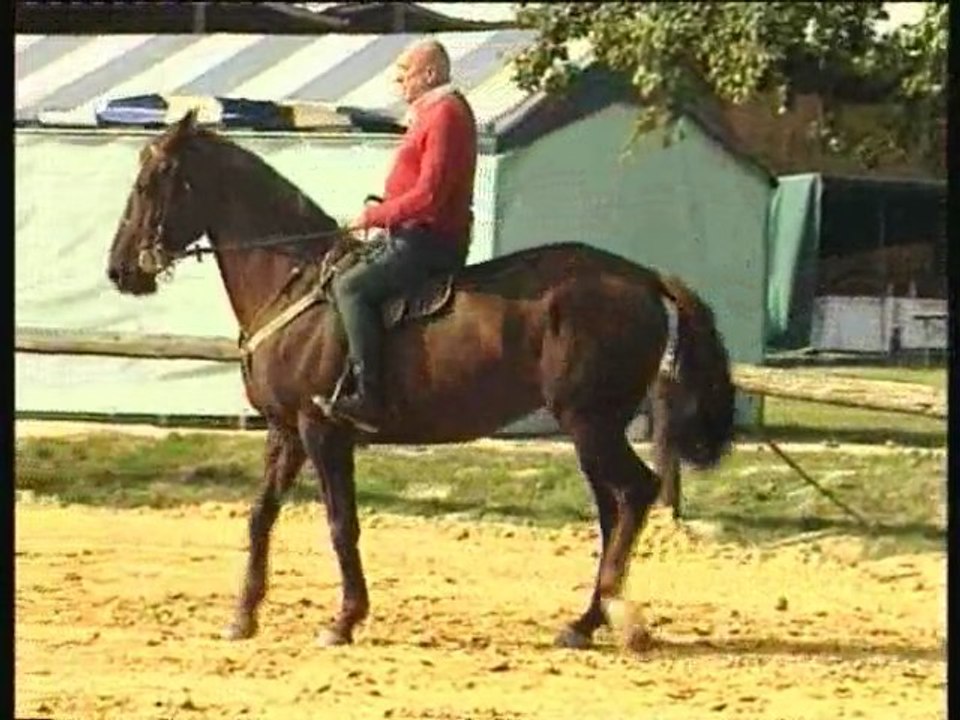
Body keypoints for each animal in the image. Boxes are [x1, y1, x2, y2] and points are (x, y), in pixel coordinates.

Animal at [105, 109, 735, 651]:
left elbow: (341, 524)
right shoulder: (285, 432)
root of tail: (643, 277)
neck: (293, 281)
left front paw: (343, 620)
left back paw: (611, 611)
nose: (119, 270)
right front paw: (243, 615)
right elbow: (262, 515)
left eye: (151, 181)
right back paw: (585, 620)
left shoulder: (321, 431)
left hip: (590, 422)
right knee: (613, 510)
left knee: (636, 494)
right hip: (593, 430)